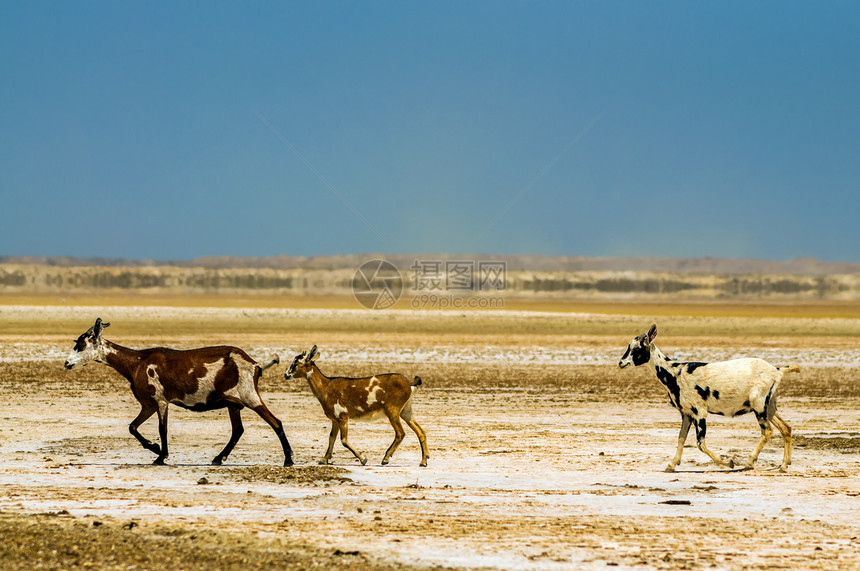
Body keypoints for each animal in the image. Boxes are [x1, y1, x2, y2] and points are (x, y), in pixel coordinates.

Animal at [65, 320, 294, 466]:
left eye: (82, 344)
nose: (67, 363)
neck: (138, 362)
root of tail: (255, 364)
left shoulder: (160, 401)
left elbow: (162, 429)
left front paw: (161, 456)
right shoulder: (147, 404)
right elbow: (132, 427)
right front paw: (155, 448)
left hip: (249, 395)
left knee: (276, 422)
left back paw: (288, 459)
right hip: (233, 404)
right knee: (238, 430)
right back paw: (218, 458)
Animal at [286, 346, 430, 466]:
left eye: (296, 363)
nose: (286, 374)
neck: (326, 387)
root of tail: (409, 383)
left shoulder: (342, 417)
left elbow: (343, 440)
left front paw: (363, 459)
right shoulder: (335, 419)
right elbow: (331, 438)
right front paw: (324, 459)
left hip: (392, 410)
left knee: (400, 433)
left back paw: (385, 459)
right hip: (405, 411)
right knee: (420, 431)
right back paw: (423, 461)